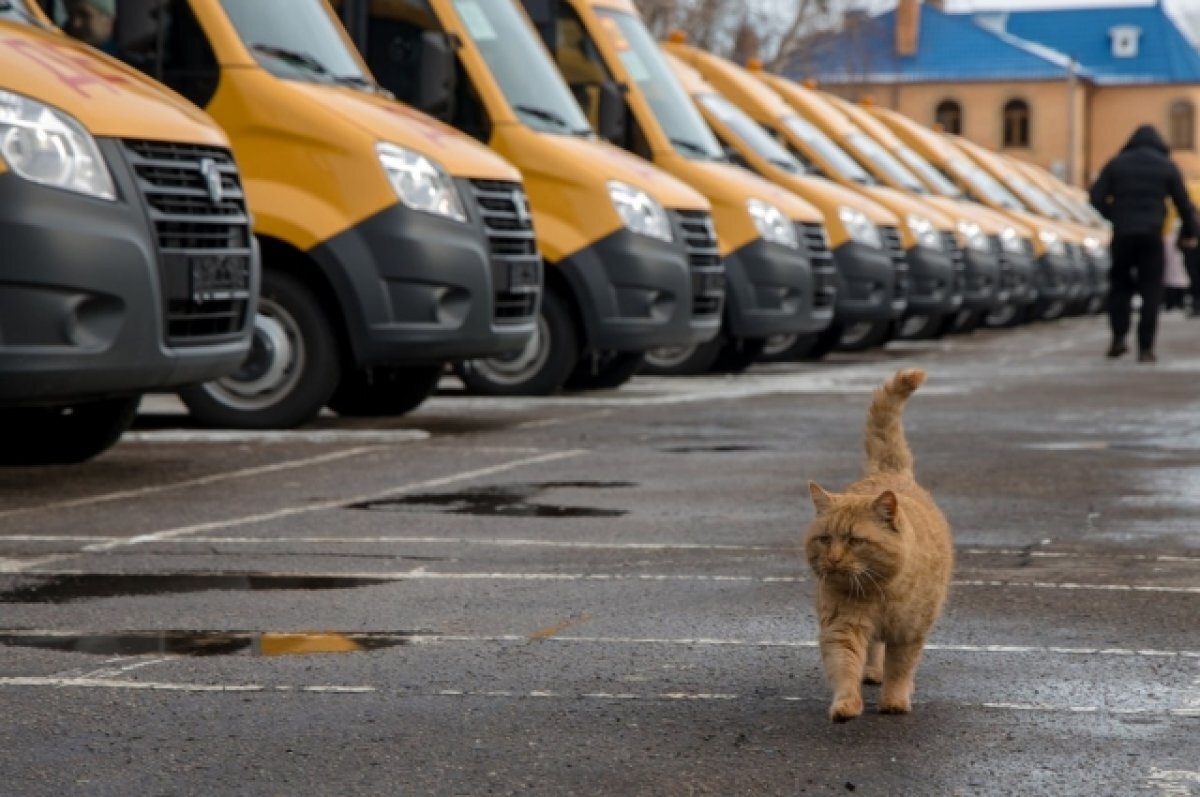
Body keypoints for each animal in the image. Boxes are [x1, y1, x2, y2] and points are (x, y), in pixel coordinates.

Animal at [806, 369, 955, 720]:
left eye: (855, 540)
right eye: (825, 539)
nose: (833, 559)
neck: (879, 592)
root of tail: (888, 472)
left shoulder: (909, 632)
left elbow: (900, 668)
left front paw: (895, 701)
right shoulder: (842, 626)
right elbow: (845, 667)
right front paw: (846, 705)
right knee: (874, 649)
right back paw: (872, 672)